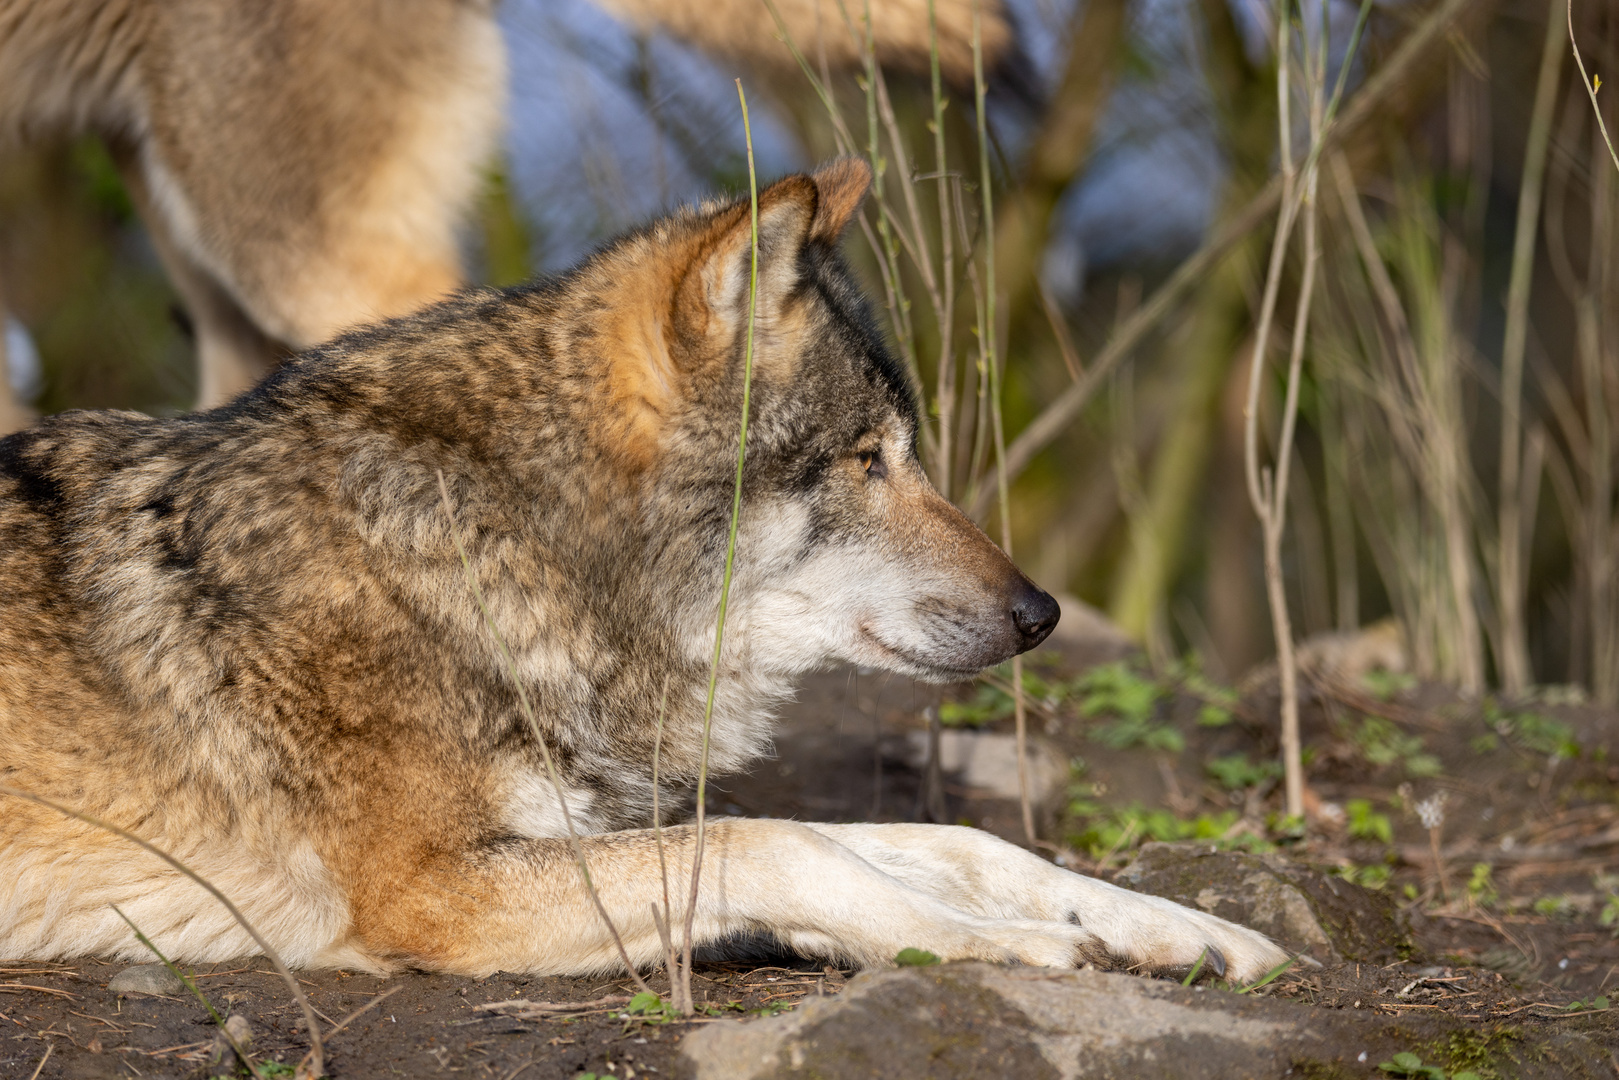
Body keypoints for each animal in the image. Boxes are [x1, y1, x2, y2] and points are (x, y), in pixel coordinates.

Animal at [0, 158, 1288, 977]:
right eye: (865, 460)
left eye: (905, 454)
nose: (1042, 613)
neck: (494, 550)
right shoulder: (433, 892)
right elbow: (780, 841)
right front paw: (1018, 947)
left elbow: (944, 842)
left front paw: (1168, 926)